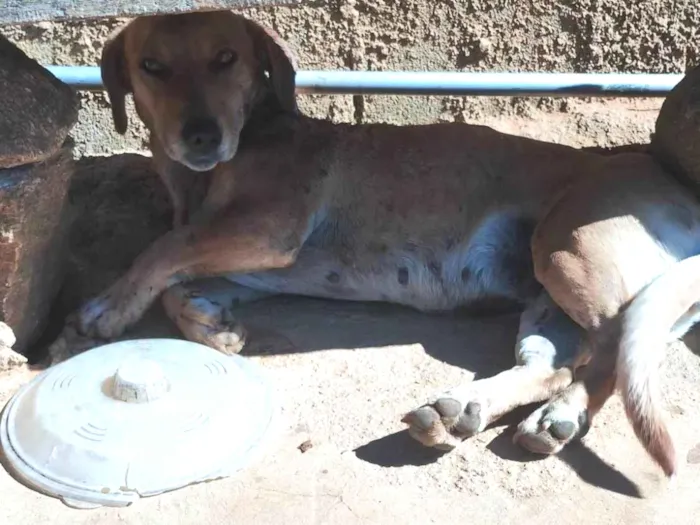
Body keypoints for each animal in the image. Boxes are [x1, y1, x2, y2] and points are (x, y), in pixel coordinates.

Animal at [49, 11, 700, 478]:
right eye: (151, 65)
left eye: (226, 59)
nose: (201, 135)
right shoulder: (256, 258)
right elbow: (177, 280)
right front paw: (212, 324)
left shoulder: (267, 228)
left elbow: (163, 249)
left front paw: (107, 309)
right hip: (547, 291)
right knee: (554, 363)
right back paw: (463, 411)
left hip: (566, 250)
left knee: (610, 351)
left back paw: (559, 415)